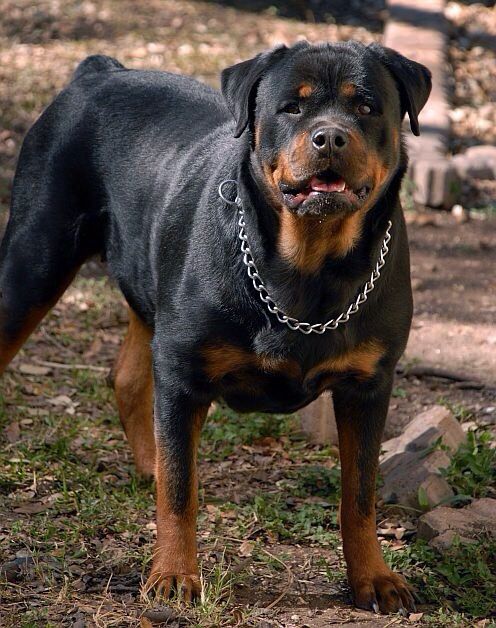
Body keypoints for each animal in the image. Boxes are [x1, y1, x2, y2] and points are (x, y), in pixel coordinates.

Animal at [0, 43, 430, 612]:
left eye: (366, 107)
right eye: (292, 107)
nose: (330, 136)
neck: (308, 267)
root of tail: (99, 72)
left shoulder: (369, 385)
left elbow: (360, 495)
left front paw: (374, 577)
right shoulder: (183, 371)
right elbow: (181, 491)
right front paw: (173, 575)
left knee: (130, 379)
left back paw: (150, 464)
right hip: (33, 263)